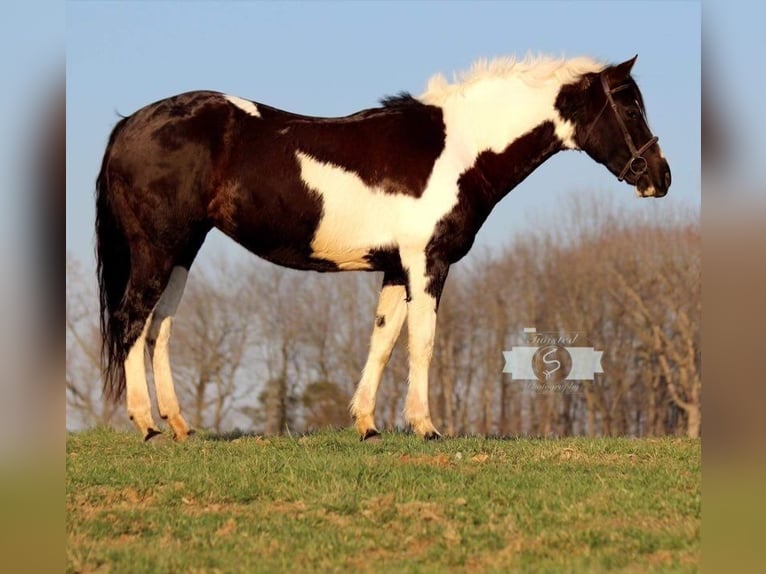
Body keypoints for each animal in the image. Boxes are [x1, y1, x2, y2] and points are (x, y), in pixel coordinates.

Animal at [95, 54, 670, 442]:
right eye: (629, 107)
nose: (661, 178)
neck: (461, 148)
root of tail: (129, 123)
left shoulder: (396, 268)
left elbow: (384, 339)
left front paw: (367, 424)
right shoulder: (427, 263)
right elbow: (423, 341)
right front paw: (426, 427)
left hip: (183, 248)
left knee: (160, 326)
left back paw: (178, 425)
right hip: (158, 247)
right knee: (132, 318)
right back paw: (145, 423)